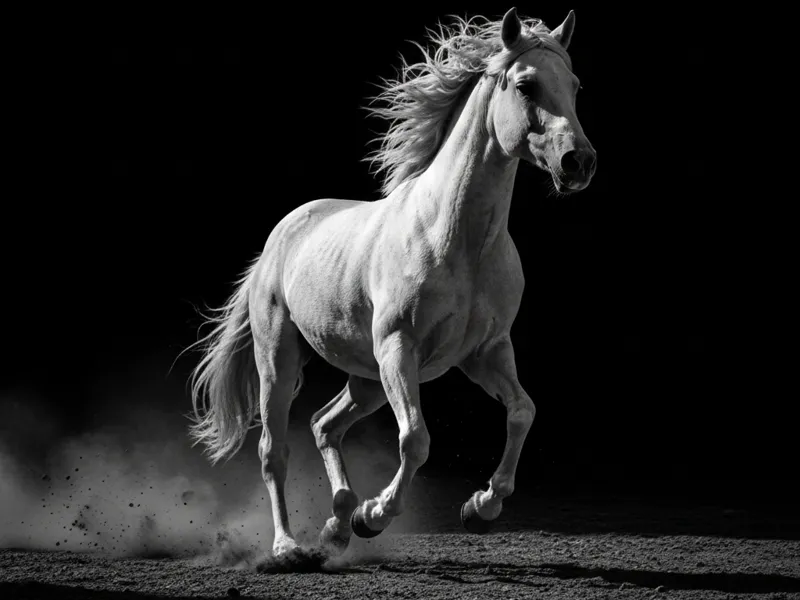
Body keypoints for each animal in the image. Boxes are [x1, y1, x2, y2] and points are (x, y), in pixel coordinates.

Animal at [187, 7, 596, 560]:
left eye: (574, 86)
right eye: (526, 85)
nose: (580, 162)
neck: (460, 240)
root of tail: (279, 238)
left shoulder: (486, 351)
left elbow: (522, 412)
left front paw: (480, 507)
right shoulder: (399, 348)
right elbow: (415, 440)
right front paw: (375, 515)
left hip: (366, 379)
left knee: (324, 425)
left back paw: (337, 524)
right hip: (282, 357)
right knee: (274, 449)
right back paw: (290, 547)